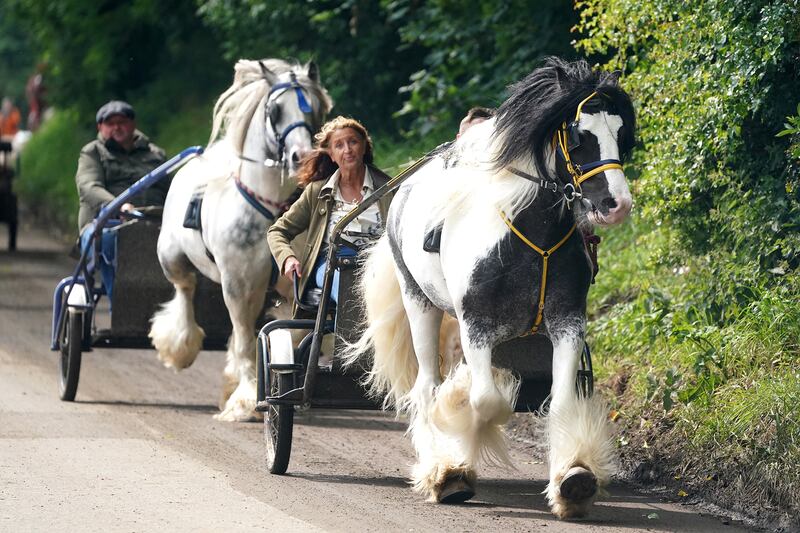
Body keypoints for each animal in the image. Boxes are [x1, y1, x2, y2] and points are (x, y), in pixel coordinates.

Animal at [150, 59, 332, 422]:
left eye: (316, 107)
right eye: (275, 110)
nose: (302, 157)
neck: (273, 210)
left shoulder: (294, 285)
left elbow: (291, 333)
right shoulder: (237, 282)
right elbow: (248, 339)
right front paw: (246, 400)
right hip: (173, 258)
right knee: (185, 290)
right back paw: (181, 346)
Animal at [343, 58, 635, 519]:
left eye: (621, 134)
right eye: (579, 136)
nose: (616, 204)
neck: (528, 234)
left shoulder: (567, 323)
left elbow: (562, 400)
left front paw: (572, 479)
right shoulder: (476, 325)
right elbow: (485, 401)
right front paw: (457, 443)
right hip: (419, 302)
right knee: (427, 385)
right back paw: (442, 464)